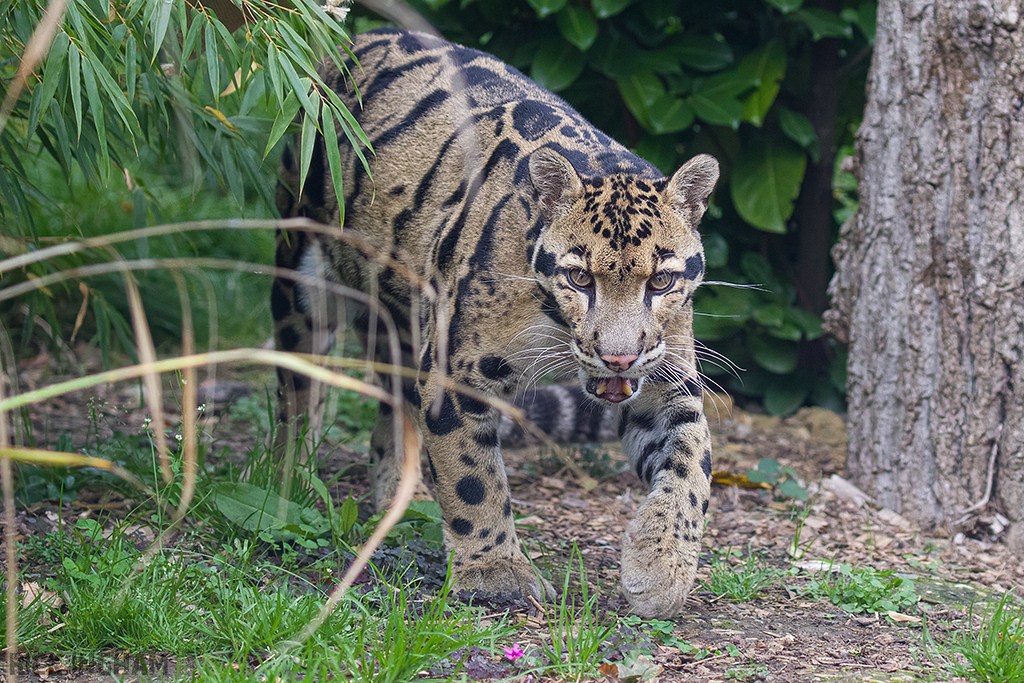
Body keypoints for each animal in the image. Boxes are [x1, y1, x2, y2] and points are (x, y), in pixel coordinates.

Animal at [271, 28, 719, 618]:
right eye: (579, 278)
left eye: (662, 282)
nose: (618, 356)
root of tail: (351, 39)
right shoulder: (455, 369)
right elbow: (472, 478)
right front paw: (496, 575)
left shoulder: (667, 377)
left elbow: (692, 461)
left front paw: (659, 564)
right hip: (302, 271)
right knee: (297, 392)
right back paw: (286, 481)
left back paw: (400, 497)